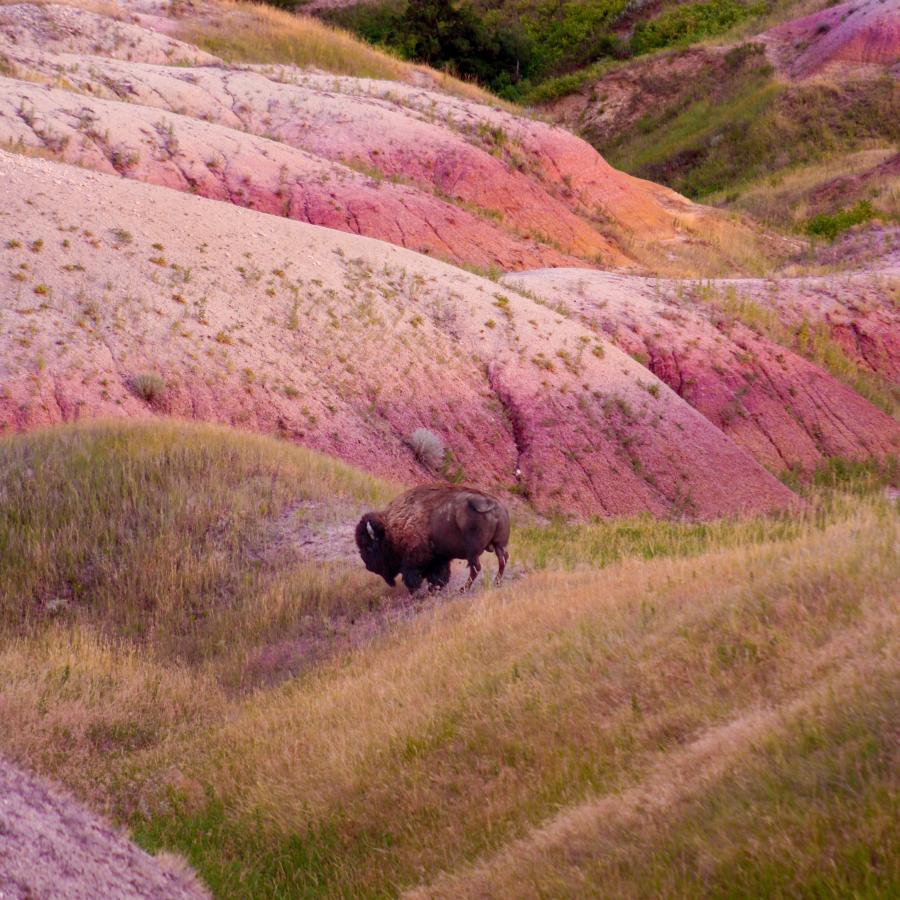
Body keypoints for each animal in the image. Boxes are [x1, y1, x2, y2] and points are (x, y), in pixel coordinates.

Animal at [358, 488, 512, 596]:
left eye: (369, 547)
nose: (368, 566)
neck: (391, 528)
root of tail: (492, 504)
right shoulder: (440, 558)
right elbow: (440, 575)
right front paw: (435, 588)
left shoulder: (415, 560)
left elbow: (414, 577)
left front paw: (419, 592)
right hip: (498, 544)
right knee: (502, 559)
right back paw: (496, 582)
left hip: (473, 552)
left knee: (476, 568)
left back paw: (462, 590)